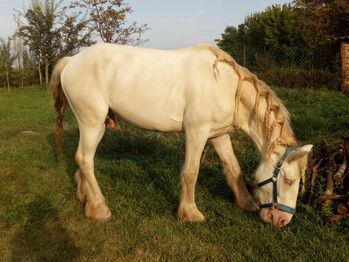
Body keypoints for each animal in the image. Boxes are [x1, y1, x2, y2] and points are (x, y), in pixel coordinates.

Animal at [49, 43, 312, 227]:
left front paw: (246, 202)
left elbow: (233, 167)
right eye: (290, 180)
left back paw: (86, 198)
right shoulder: (197, 132)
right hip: (92, 123)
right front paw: (190, 213)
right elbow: (191, 172)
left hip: (94, 125)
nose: (281, 221)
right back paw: (100, 209)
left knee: (83, 160)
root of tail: (72, 61)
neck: (224, 85)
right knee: (85, 159)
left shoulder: (218, 135)